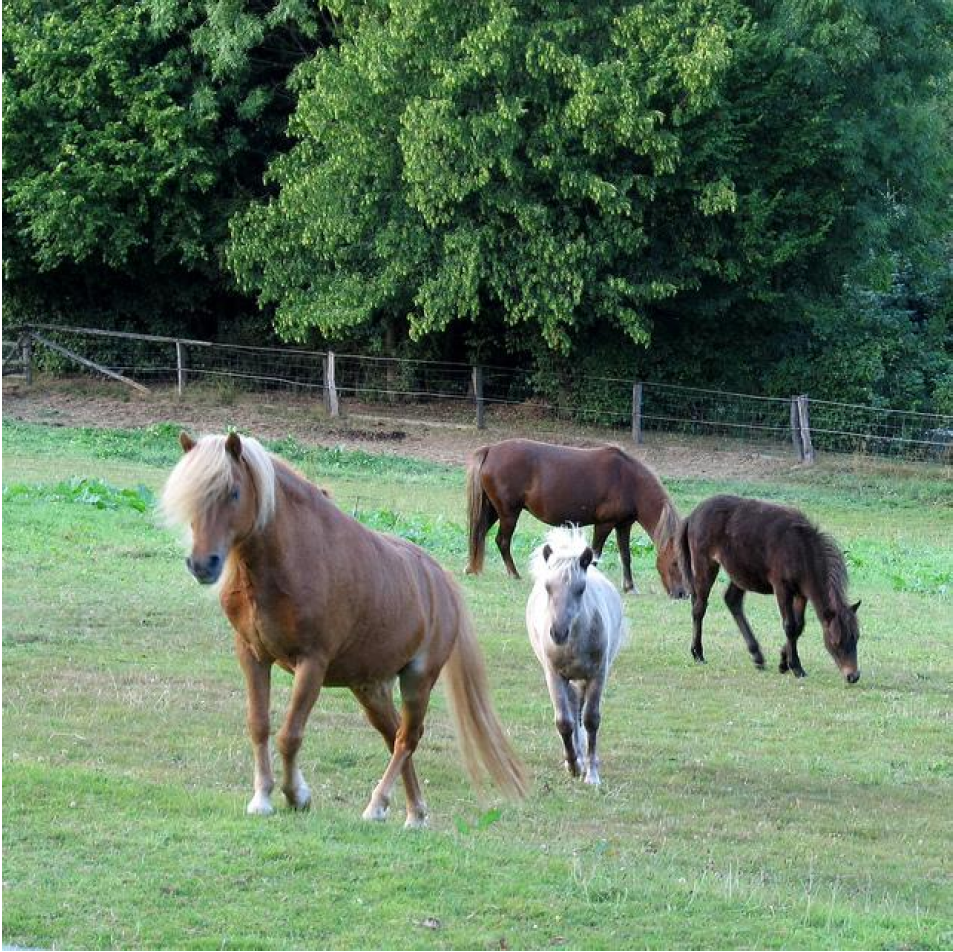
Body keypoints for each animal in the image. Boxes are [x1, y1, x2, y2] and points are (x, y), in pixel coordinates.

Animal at [160, 431, 527, 827]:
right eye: (190, 495)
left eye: (233, 492)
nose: (202, 564)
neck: (287, 561)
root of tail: (440, 581)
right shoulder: (252, 656)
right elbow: (258, 725)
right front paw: (262, 798)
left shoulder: (312, 663)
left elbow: (290, 734)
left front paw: (297, 795)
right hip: (370, 687)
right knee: (395, 735)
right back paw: (414, 812)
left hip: (417, 679)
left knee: (407, 738)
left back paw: (379, 805)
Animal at [465, 438, 688, 597]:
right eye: (675, 563)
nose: (682, 594)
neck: (629, 481)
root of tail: (490, 449)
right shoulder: (604, 524)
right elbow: (596, 554)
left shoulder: (623, 525)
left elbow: (626, 556)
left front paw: (630, 587)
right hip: (509, 513)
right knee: (502, 541)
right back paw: (513, 574)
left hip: (494, 511)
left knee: (479, 534)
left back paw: (470, 568)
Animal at [525, 526, 627, 785]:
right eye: (547, 587)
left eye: (580, 589)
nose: (558, 632)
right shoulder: (554, 675)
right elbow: (564, 721)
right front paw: (573, 765)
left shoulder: (597, 674)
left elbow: (591, 720)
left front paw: (591, 774)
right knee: (572, 710)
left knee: (580, 710)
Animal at [676, 494, 861, 682]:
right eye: (836, 641)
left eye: (856, 638)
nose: (853, 676)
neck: (800, 550)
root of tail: (692, 515)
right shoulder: (782, 588)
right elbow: (789, 626)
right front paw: (796, 667)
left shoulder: (801, 594)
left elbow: (799, 626)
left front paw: (783, 662)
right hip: (706, 564)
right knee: (699, 607)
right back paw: (698, 653)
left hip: (740, 573)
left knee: (732, 600)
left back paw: (757, 656)